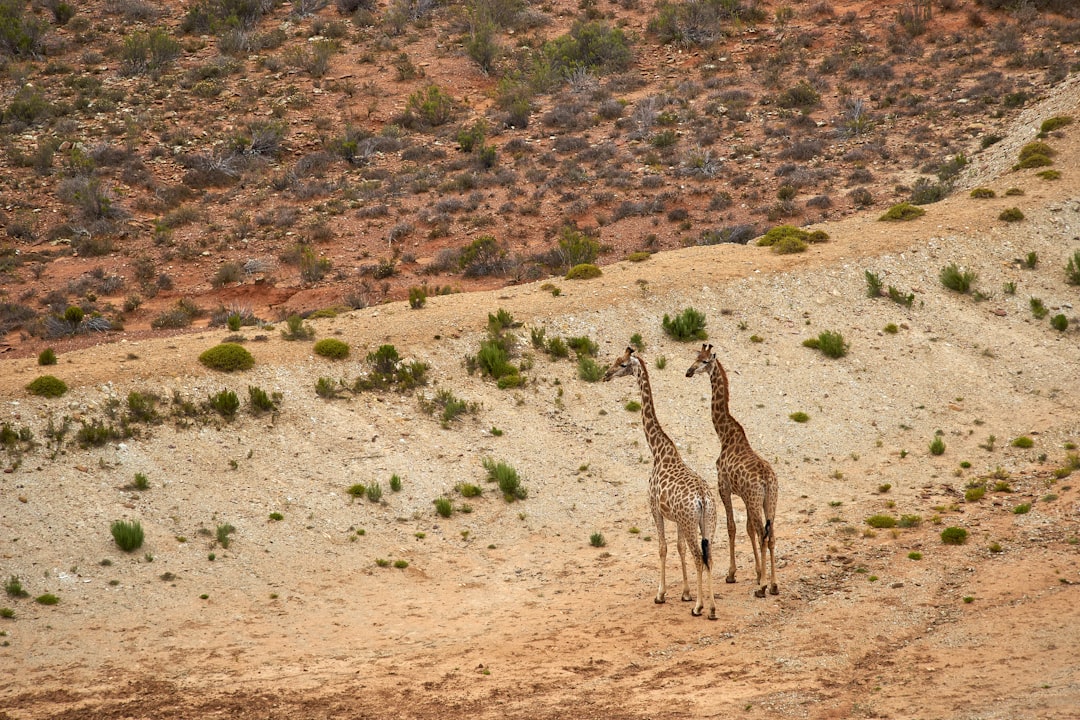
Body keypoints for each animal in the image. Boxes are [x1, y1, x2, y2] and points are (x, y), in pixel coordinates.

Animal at [609, 345, 717, 621]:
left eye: (622, 364)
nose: (606, 374)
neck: (657, 451)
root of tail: (704, 498)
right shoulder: (676, 518)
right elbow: (678, 548)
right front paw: (686, 593)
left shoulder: (655, 509)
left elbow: (662, 548)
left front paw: (661, 594)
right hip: (708, 522)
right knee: (709, 556)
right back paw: (711, 609)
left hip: (692, 523)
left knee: (699, 557)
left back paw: (700, 608)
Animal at [682, 343, 777, 595]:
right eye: (696, 356)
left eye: (705, 361)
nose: (689, 372)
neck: (725, 435)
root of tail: (767, 481)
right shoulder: (741, 494)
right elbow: (747, 529)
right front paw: (757, 573)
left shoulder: (723, 487)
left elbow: (732, 527)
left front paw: (733, 574)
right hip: (770, 500)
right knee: (771, 534)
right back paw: (774, 585)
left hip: (755, 500)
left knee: (764, 534)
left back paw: (763, 588)